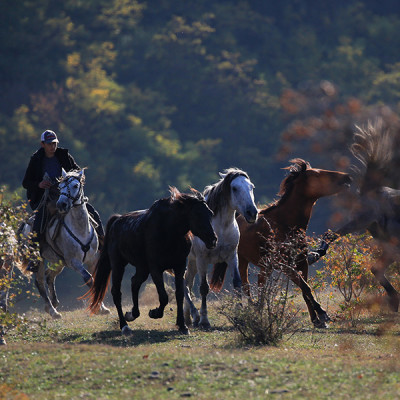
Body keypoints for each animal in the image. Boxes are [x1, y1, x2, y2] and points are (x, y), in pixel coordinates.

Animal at [33, 169, 109, 318]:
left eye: (75, 185)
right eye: (60, 186)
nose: (61, 204)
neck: (81, 229)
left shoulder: (92, 259)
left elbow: (96, 280)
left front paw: (102, 308)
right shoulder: (74, 262)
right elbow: (89, 279)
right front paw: (98, 308)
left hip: (58, 262)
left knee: (49, 276)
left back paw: (54, 303)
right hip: (39, 260)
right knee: (40, 281)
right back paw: (52, 310)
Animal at [88, 187, 217, 334]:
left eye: (210, 213)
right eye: (197, 214)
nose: (213, 240)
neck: (168, 230)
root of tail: (116, 221)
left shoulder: (179, 267)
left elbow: (179, 295)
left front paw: (182, 325)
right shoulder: (155, 269)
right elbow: (164, 296)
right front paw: (154, 313)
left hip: (142, 268)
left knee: (134, 282)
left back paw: (132, 314)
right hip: (118, 265)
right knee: (116, 292)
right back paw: (125, 326)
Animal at [184, 169, 258, 328]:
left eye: (252, 187)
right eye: (234, 188)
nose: (252, 213)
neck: (220, 228)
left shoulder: (232, 256)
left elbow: (237, 283)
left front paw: (239, 316)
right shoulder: (202, 260)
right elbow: (204, 288)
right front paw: (205, 320)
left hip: (192, 262)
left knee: (187, 282)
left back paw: (188, 318)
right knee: (183, 284)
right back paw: (195, 316)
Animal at [211, 159, 352, 328]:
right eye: (318, 174)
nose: (347, 177)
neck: (284, 223)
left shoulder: (301, 263)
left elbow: (305, 289)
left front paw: (316, 320)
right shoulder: (284, 265)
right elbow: (306, 287)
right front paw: (323, 314)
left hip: (263, 266)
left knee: (259, 286)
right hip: (242, 261)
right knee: (246, 286)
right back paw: (252, 311)